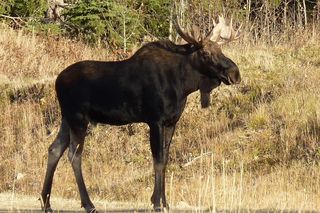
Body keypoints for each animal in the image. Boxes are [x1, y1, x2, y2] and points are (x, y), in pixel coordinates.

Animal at [40, 15, 240, 212]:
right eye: (206, 54)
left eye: (221, 50)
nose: (235, 73)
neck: (183, 84)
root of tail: (57, 81)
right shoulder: (155, 120)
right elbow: (157, 159)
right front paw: (157, 203)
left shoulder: (171, 122)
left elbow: (165, 159)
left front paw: (165, 202)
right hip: (78, 118)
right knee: (74, 155)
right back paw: (88, 204)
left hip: (66, 118)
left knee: (54, 149)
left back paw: (46, 202)